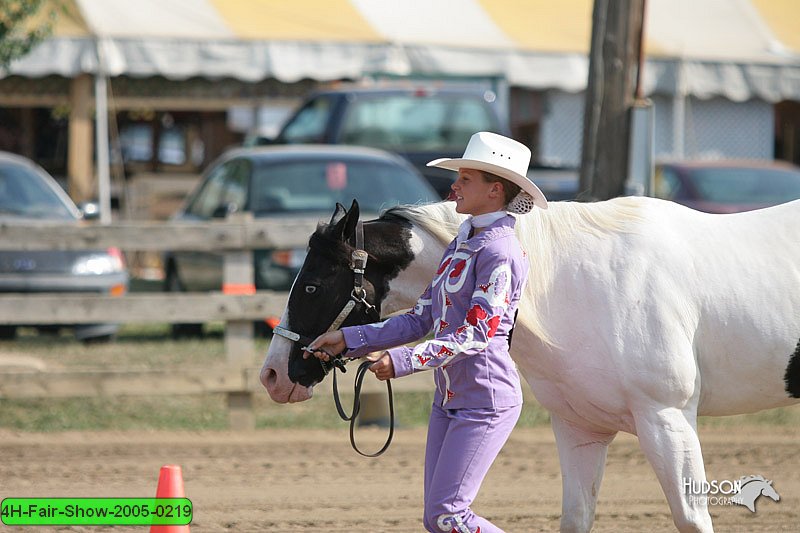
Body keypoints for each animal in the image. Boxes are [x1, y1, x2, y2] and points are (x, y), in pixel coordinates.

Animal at [262, 196, 800, 532]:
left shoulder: (668, 418)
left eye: (312, 285)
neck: (574, 280)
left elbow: (692, 518)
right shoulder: (580, 427)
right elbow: (576, 519)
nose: (272, 374)